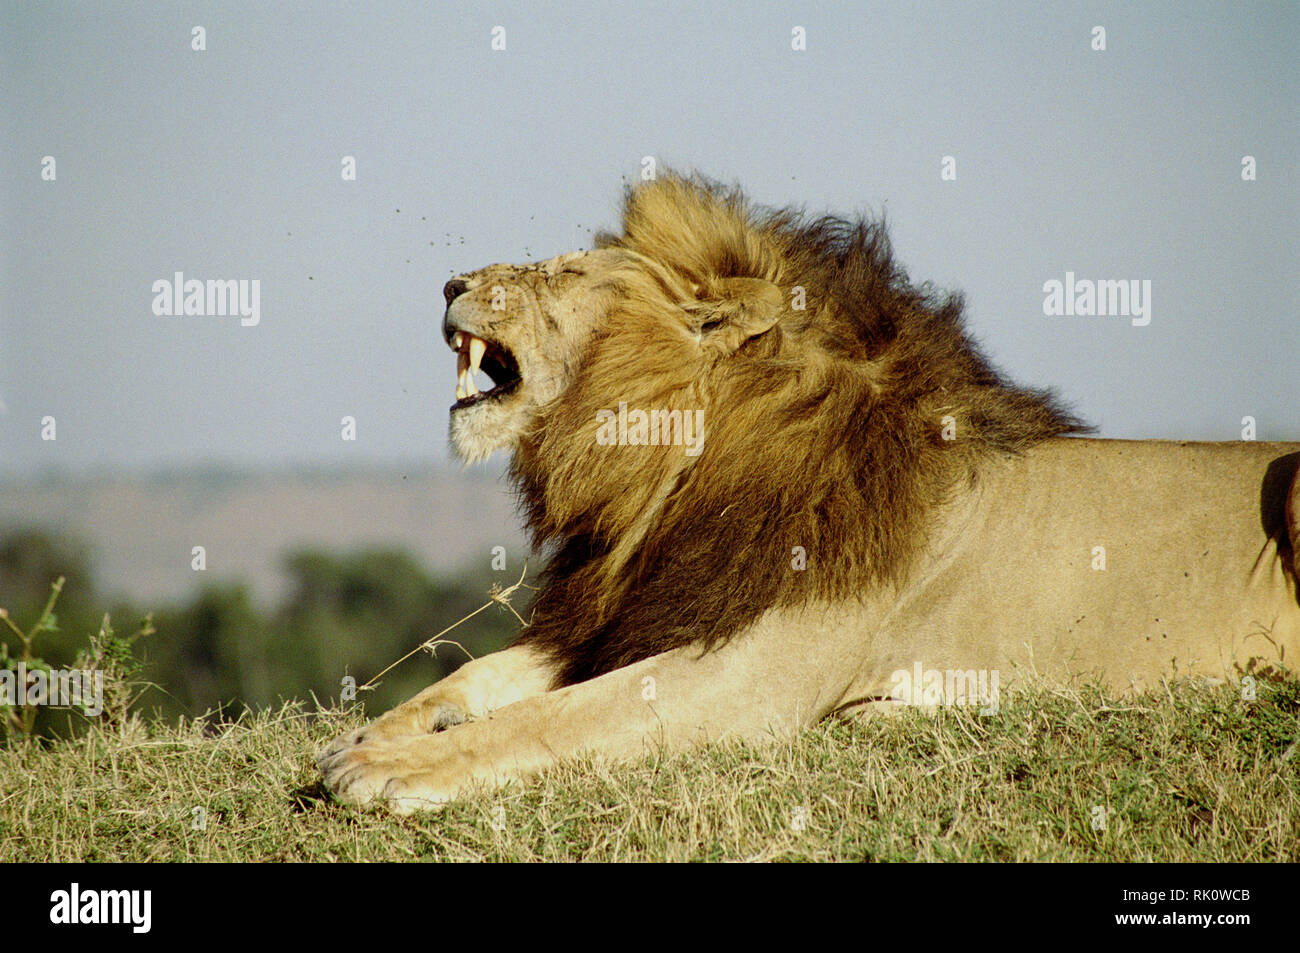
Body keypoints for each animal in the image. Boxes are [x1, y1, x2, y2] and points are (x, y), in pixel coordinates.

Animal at [317, 171, 1300, 811]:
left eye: (559, 273)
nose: (449, 282)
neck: (671, 479)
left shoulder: (745, 677)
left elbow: (553, 719)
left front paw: (392, 771)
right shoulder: (634, 613)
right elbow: (484, 675)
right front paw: (369, 736)